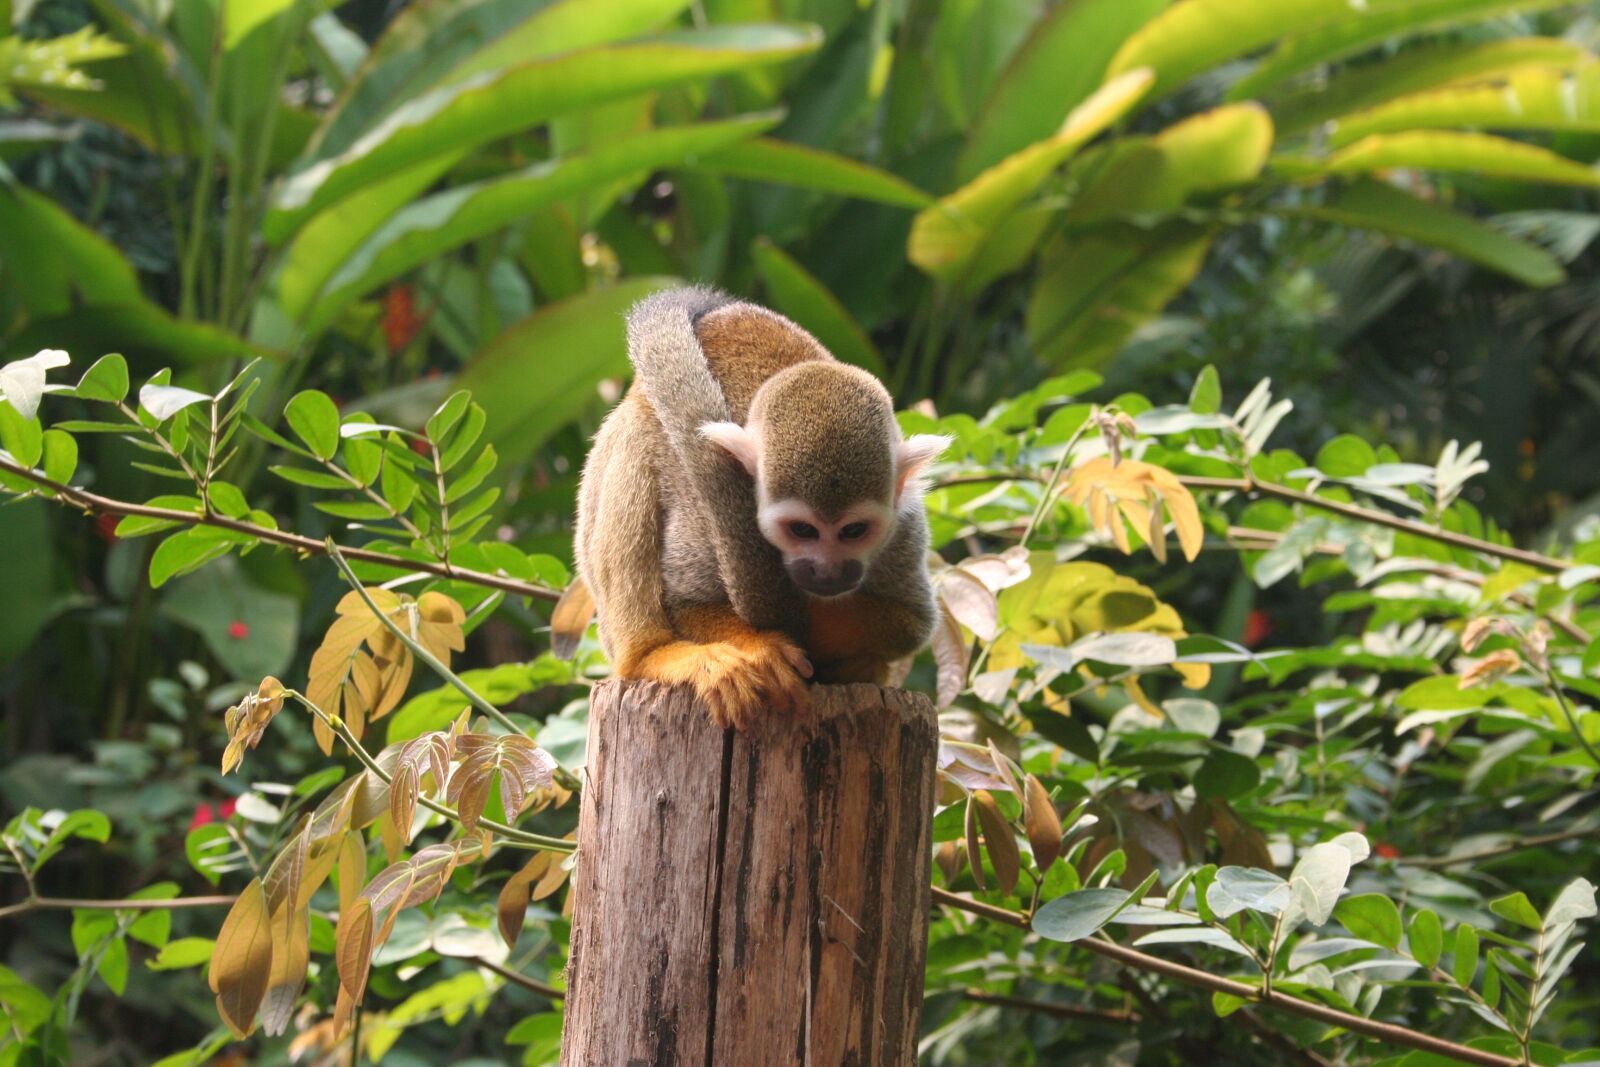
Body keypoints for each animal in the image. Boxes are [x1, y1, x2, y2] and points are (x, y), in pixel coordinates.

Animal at [574, 287, 950, 729]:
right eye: (802, 530)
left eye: (854, 531)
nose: (828, 573)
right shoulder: (701, 506)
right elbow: (690, 603)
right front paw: (762, 648)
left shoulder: (904, 528)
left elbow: (912, 622)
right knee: (635, 444)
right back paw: (649, 656)